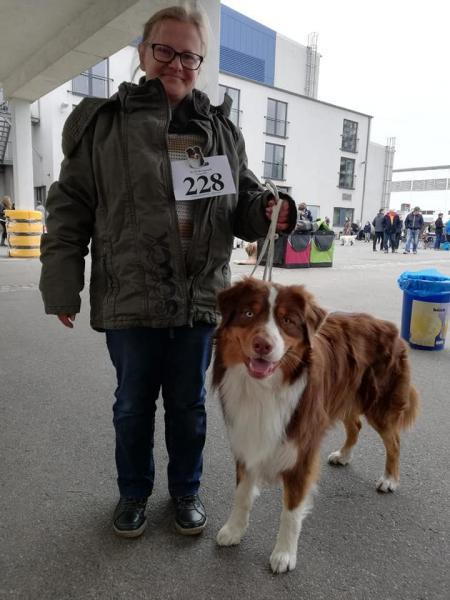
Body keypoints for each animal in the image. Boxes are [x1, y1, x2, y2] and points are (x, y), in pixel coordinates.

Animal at [213, 278, 419, 573]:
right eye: (248, 314)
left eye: (287, 320)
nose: (262, 345)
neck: (265, 389)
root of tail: (389, 325)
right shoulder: (246, 436)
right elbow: (242, 494)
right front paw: (234, 530)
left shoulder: (303, 450)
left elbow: (291, 511)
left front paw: (284, 554)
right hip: (344, 396)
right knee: (355, 425)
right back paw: (343, 455)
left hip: (379, 404)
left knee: (394, 441)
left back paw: (390, 479)